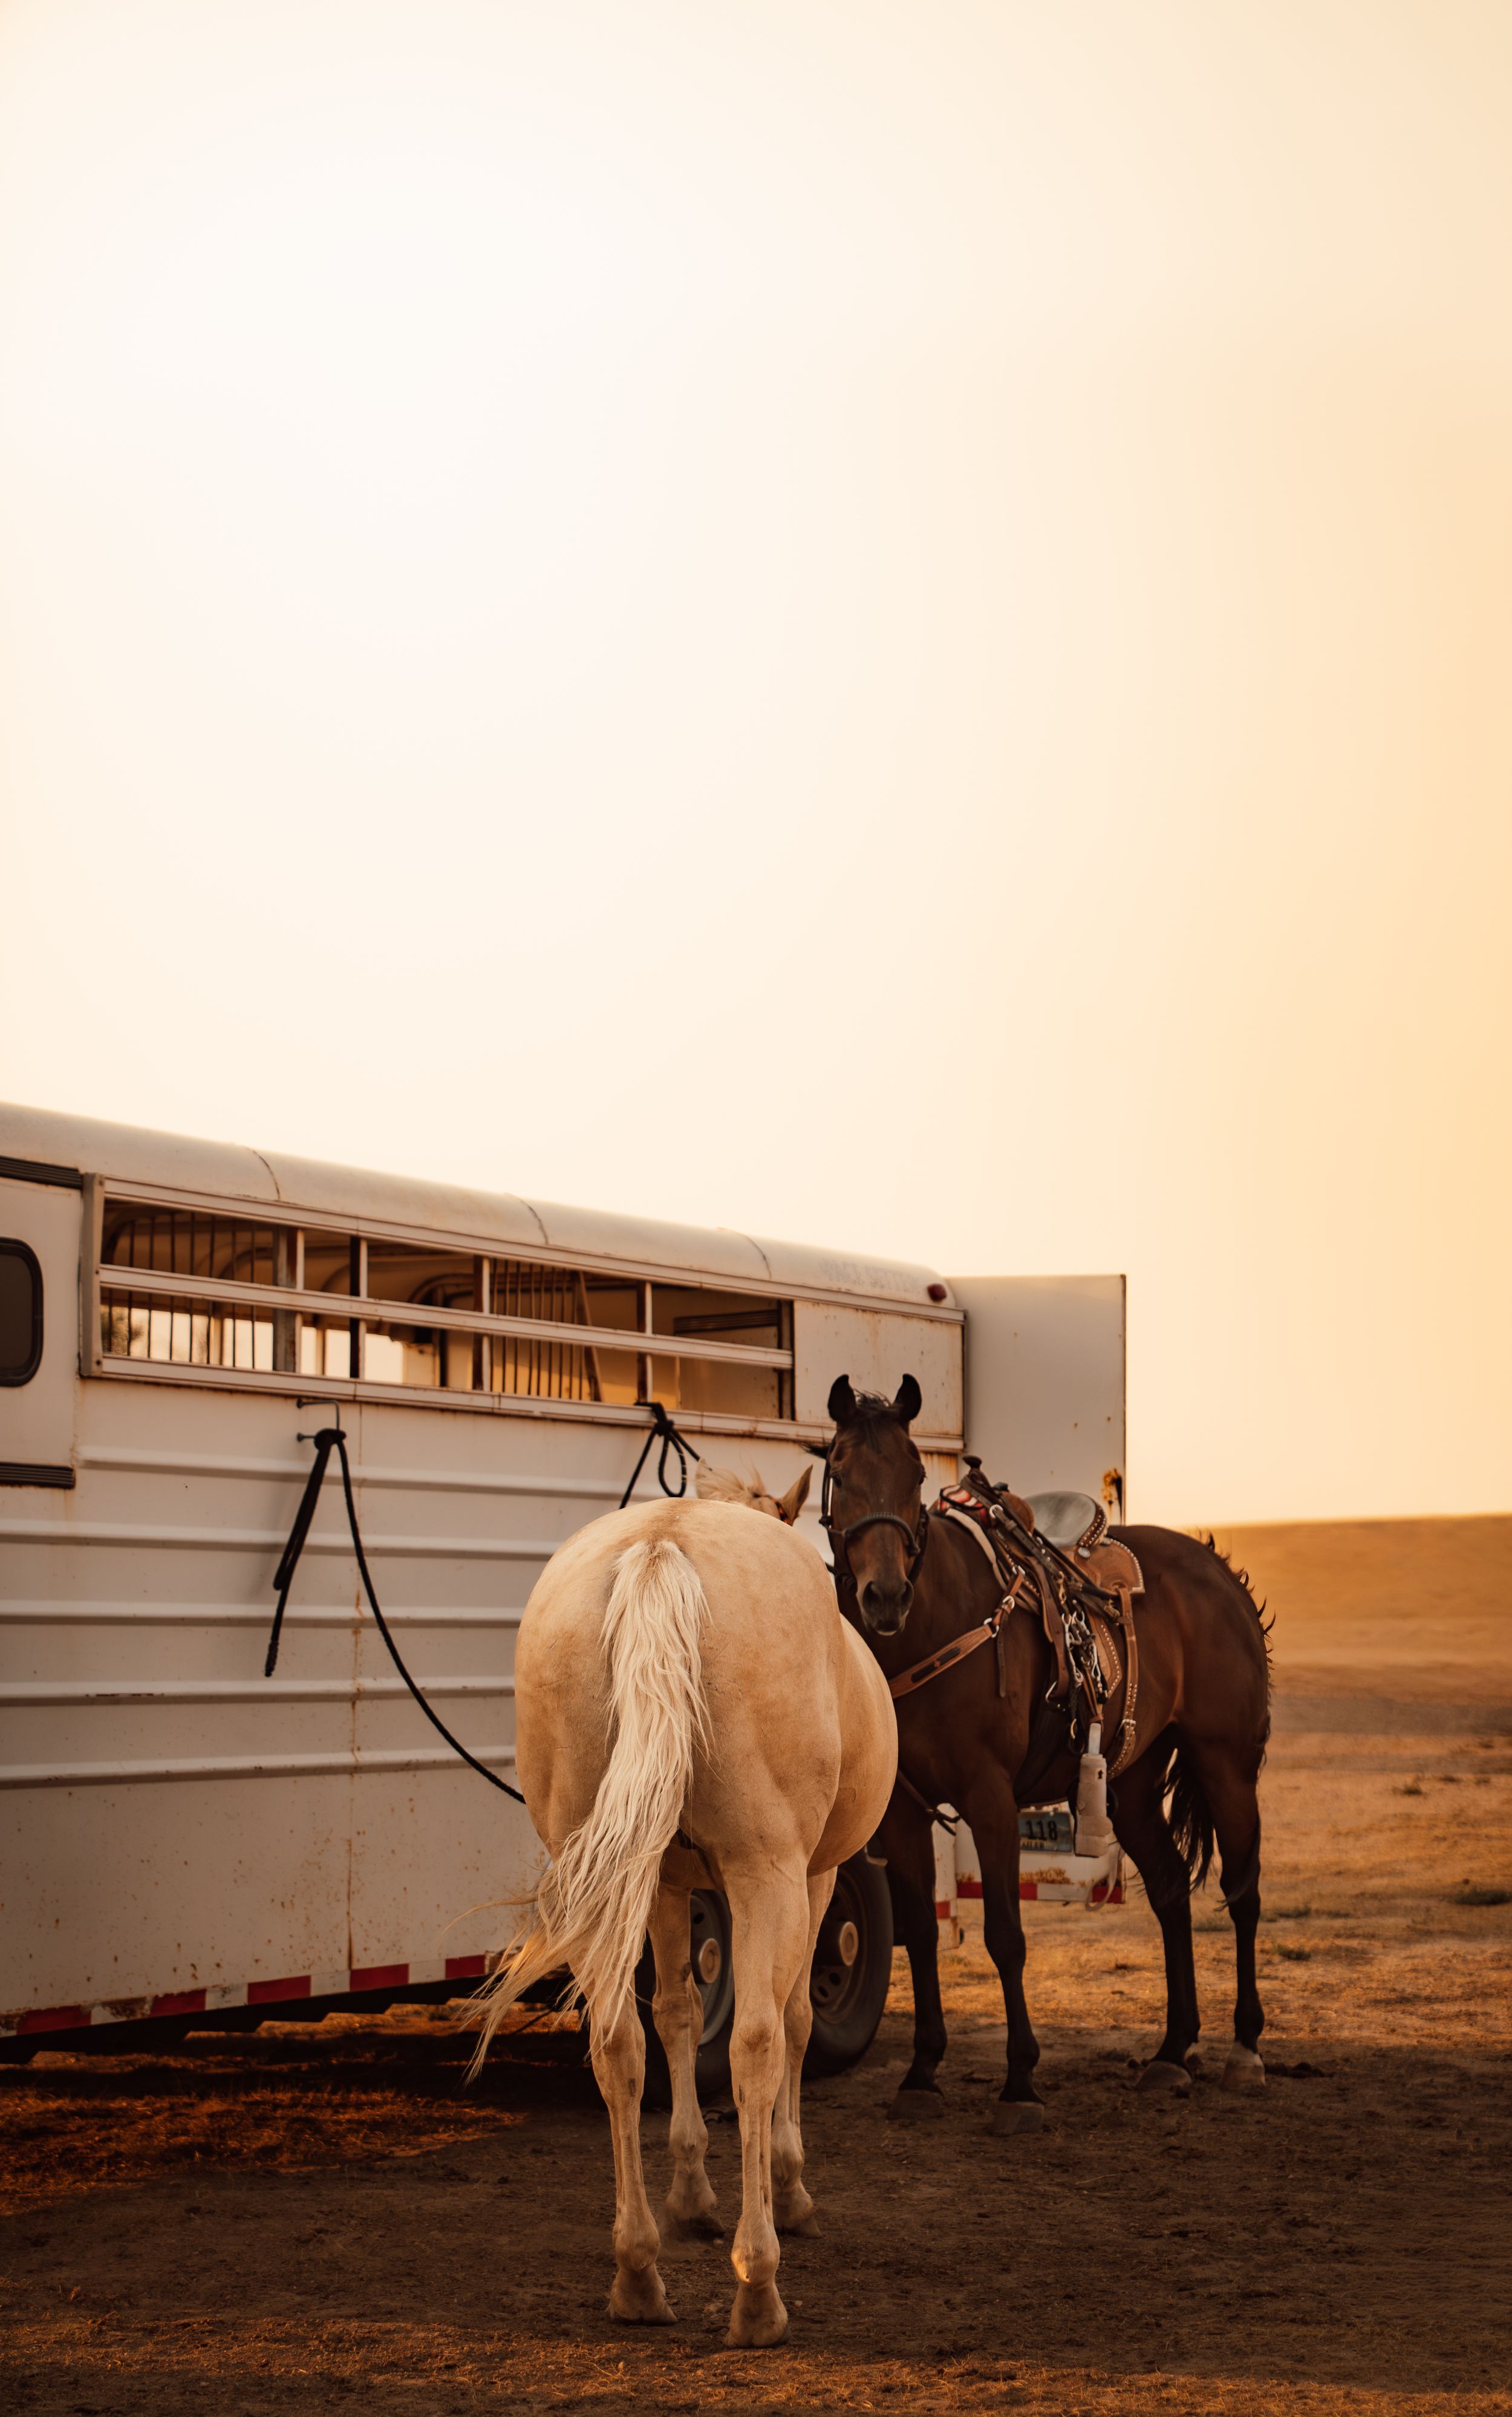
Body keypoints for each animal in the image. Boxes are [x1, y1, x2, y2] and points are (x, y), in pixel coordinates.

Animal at [475, 1474, 895, 2345]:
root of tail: (660, 1547)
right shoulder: (813, 1878)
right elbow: (795, 2020)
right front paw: (788, 2183)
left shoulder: (665, 1885)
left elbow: (674, 2015)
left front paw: (693, 2195)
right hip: (767, 1877)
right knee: (756, 2042)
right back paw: (758, 2286)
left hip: (607, 1882)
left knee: (616, 2044)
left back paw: (637, 2273)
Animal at [821, 1375, 1271, 2127]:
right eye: (838, 1469)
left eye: (915, 1474)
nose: (884, 1595)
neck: (929, 1627)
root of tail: (1218, 1569)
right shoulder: (902, 1813)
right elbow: (920, 1932)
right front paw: (921, 2072)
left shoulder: (990, 1799)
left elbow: (1005, 1935)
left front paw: (1020, 2084)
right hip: (1133, 1786)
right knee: (1170, 1890)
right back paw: (1171, 2052)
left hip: (1225, 1765)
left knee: (1242, 1893)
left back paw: (1244, 2050)